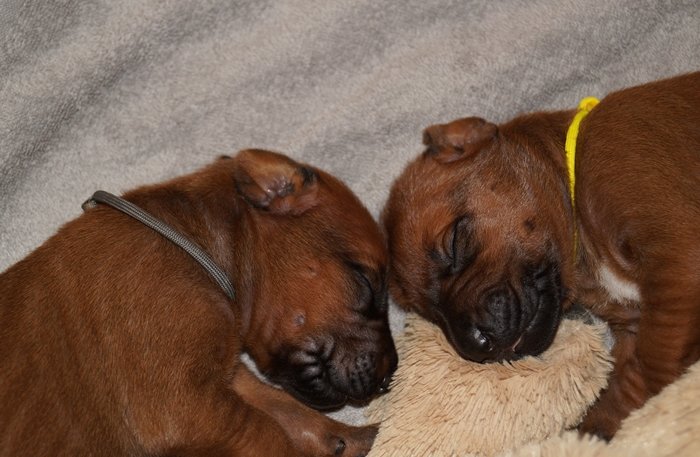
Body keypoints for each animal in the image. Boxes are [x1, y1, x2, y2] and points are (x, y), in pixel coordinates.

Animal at [0, 149, 398, 457]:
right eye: (366, 282)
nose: (389, 378)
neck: (193, 245)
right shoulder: (182, 405)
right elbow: (270, 433)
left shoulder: (228, 378)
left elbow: (287, 409)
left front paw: (360, 438)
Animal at [382, 72, 700, 439]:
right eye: (427, 313)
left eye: (454, 242)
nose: (476, 344)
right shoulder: (638, 321)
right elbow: (626, 376)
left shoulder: (679, 258)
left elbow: (650, 367)